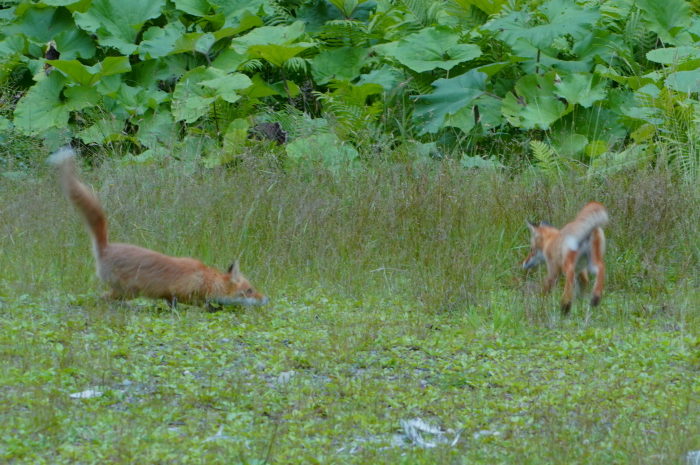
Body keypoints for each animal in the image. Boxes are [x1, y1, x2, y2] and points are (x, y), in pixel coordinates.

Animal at [48, 148, 268, 308]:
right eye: (249, 291)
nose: (266, 298)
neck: (206, 279)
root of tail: (105, 247)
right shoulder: (180, 293)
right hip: (128, 291)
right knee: (102, 298)